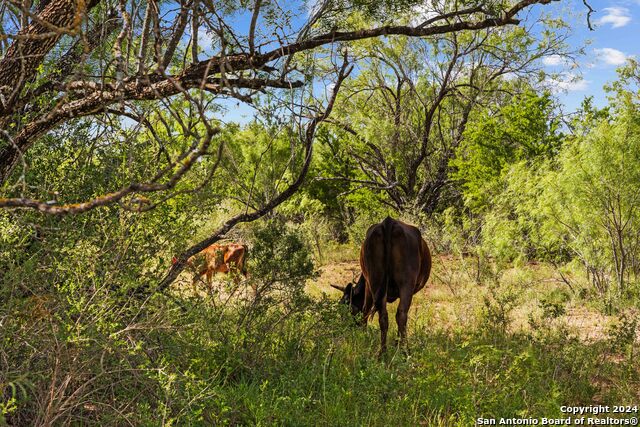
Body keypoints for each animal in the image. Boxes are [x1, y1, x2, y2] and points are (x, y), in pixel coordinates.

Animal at [332, 217, 432, 354]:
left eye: (349, 309)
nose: (348, 328)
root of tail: (388, 221)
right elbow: (366, 309)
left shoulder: (369, 284)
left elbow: (366, 310)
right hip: (406, 283)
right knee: (401, 314)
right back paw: (404, 351)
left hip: (376, 280)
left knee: (384, 316)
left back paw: (383, 352)